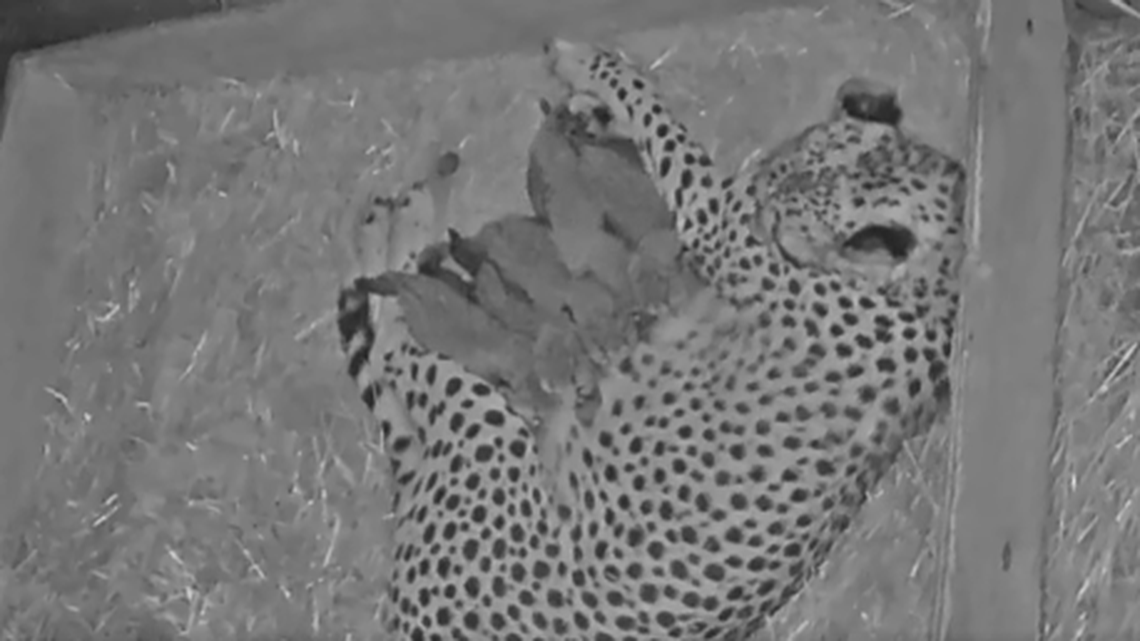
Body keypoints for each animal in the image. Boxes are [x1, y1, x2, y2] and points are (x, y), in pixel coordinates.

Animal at [335, 38, 966, 641]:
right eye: (784, 173)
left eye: (787, 213)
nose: (762, 198)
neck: (933, 274)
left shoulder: (711, 216)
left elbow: (659, 117)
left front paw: (586, 61)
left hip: (487, 424)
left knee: (398, 334)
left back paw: (396, 220)